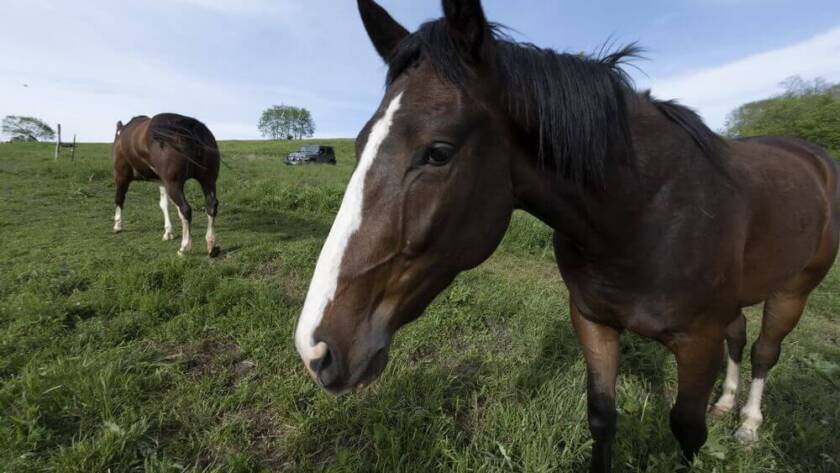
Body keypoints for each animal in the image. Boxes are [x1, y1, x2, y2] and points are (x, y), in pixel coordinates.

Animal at [113, 113, 221, 256]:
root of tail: (189, 127)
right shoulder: (162, 182)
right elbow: (164, 205)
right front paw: (168, 232)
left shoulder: (121, 176)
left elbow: (119, 199)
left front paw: (117, 225)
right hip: (208, 180)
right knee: (211, 205)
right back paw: (211, 243)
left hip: (174, 184)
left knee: (185, 209)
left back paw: (184, 247)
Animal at [294, 1, 840, 470]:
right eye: (359, 143)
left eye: (438, 152)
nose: (315, 349)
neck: (644, 214)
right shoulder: (592, 320)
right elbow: (602, 417)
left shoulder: (697, 341)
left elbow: (688, 430)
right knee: (740, 335)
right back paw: (726, 404)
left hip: (793, 291)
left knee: (765, 351)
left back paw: (748, 424)